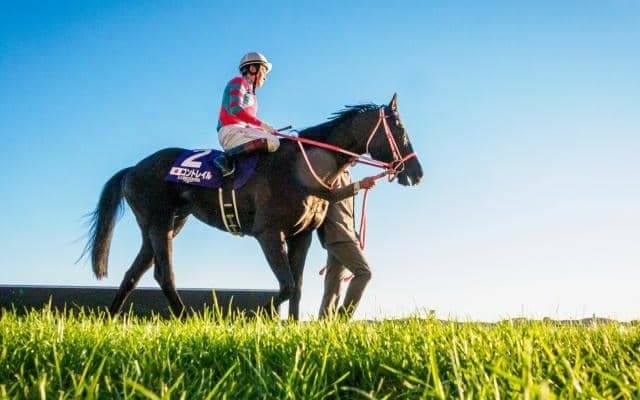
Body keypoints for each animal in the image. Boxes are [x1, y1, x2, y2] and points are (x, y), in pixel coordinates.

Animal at [83, 94, 423, 320]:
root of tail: (133, 169)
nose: (417, 172)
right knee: (164, 275)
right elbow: (286, 286)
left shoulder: (301, 236)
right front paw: (258, 318)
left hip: (166, 225)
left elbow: (297, 287)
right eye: (401, 130)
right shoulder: (268, 233)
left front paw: (292, 327)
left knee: (133, 274)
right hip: (159, 224)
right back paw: (185, 318)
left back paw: (110, 319)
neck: (302, 167)